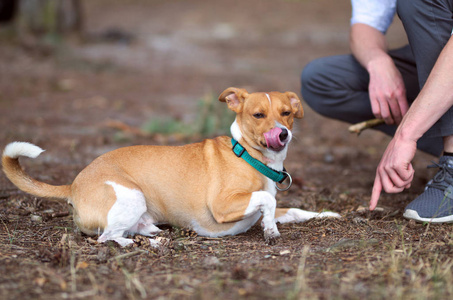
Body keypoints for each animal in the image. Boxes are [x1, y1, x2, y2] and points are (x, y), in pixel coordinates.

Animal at [1, 87, 338, 246]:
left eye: (286, 113)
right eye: (258, 115)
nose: (282, 134)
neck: (249, 156)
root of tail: (73, 184)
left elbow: (293, 210)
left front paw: (326, 214)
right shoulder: (223, 205)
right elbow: (267, 200)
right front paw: (270, 229)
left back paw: (152, 235)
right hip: (131, 196)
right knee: (106, 237)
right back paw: (137, 244)